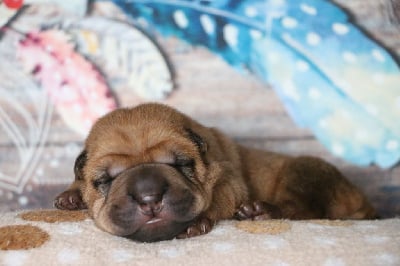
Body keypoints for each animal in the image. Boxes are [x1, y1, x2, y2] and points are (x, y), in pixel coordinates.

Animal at [54, 103, 378, 242]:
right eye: (106, 180)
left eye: (180, 164)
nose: (149, 197)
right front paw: (72, 196)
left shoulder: (229, 181)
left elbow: (218, 198)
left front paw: (198, 222)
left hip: (304, 171)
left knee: (303, 209)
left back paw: (261, 211)